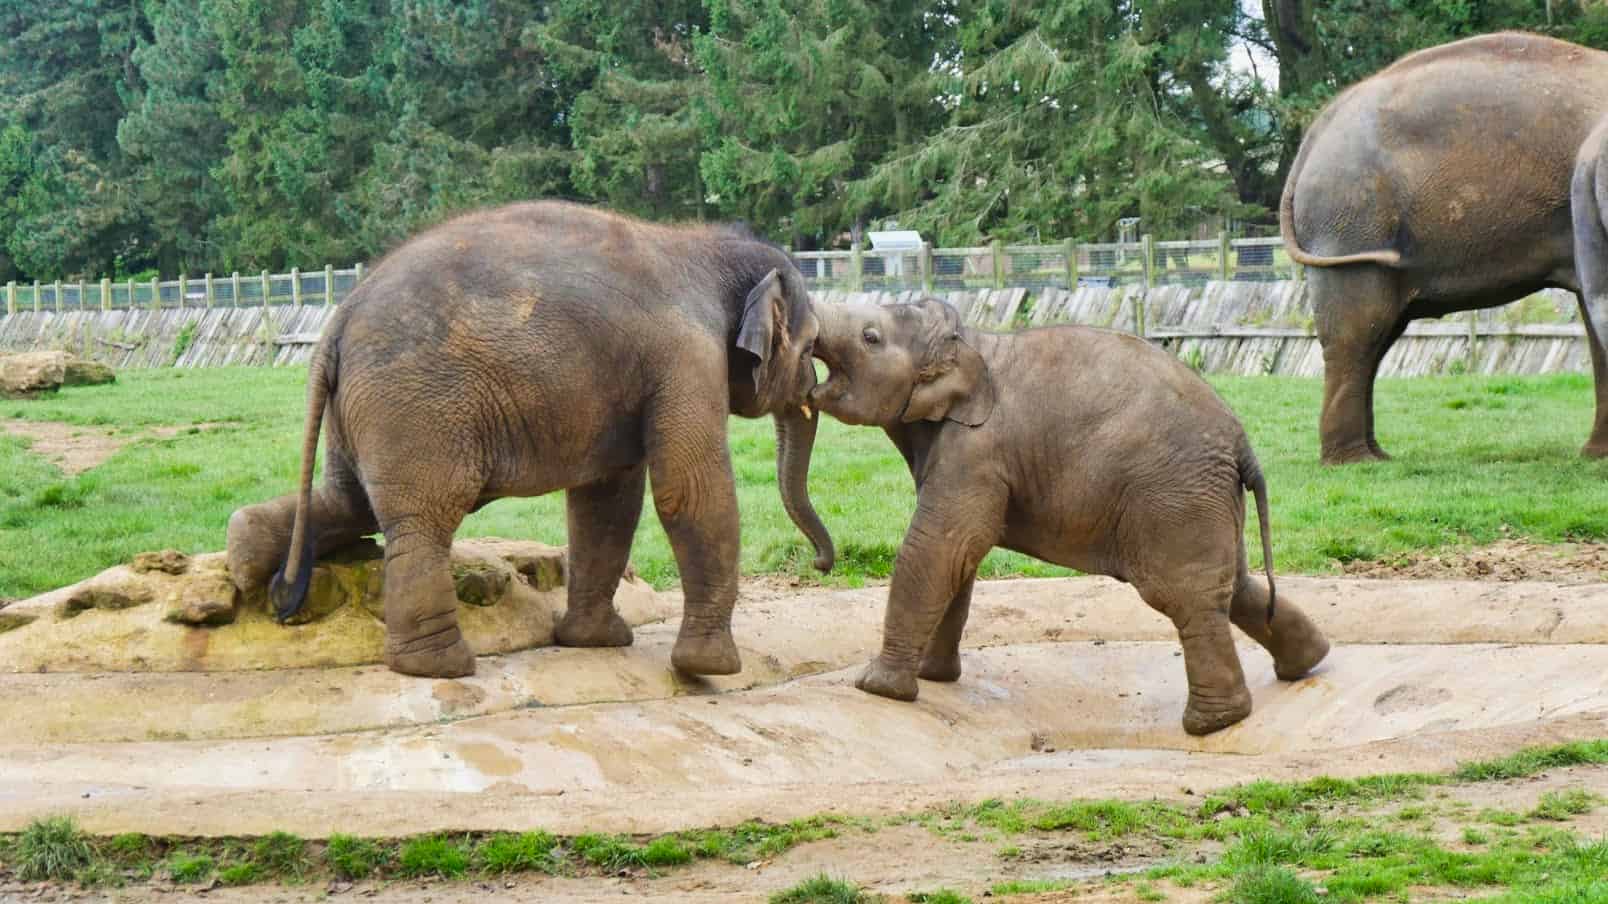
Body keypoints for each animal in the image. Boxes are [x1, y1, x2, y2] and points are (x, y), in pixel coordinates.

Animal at [226, 198, 836, 675]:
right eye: (810, 346)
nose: (820, 565)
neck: (701, 244)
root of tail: (336, 323)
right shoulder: (686, 358)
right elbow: (687, 490)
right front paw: (711, 668)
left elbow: (607, 499)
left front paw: (597, 642)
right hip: (417, 407)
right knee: (423, 518)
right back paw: (441, 667)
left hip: (365, 410)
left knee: (349, 501)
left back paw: (247, 561)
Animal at [816, 295, 1331, 733]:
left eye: (869, 337)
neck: (970, 341)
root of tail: (1243, 445)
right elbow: (958, 560)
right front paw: (934, 678)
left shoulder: (977, 451)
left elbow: (938, 548)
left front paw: (878, 689)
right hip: (1205, 498)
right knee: (1236, 586)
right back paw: (1308, 663)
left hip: (1173, 495)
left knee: (1185, 596)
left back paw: (1214, 723)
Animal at [1279, 31, 1608, 460]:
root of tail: (1316, 131)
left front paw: (1595, 456)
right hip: (1350, 223)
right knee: (1357, 332)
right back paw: (1353, 461)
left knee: (1380, 335)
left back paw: (1378, 456)